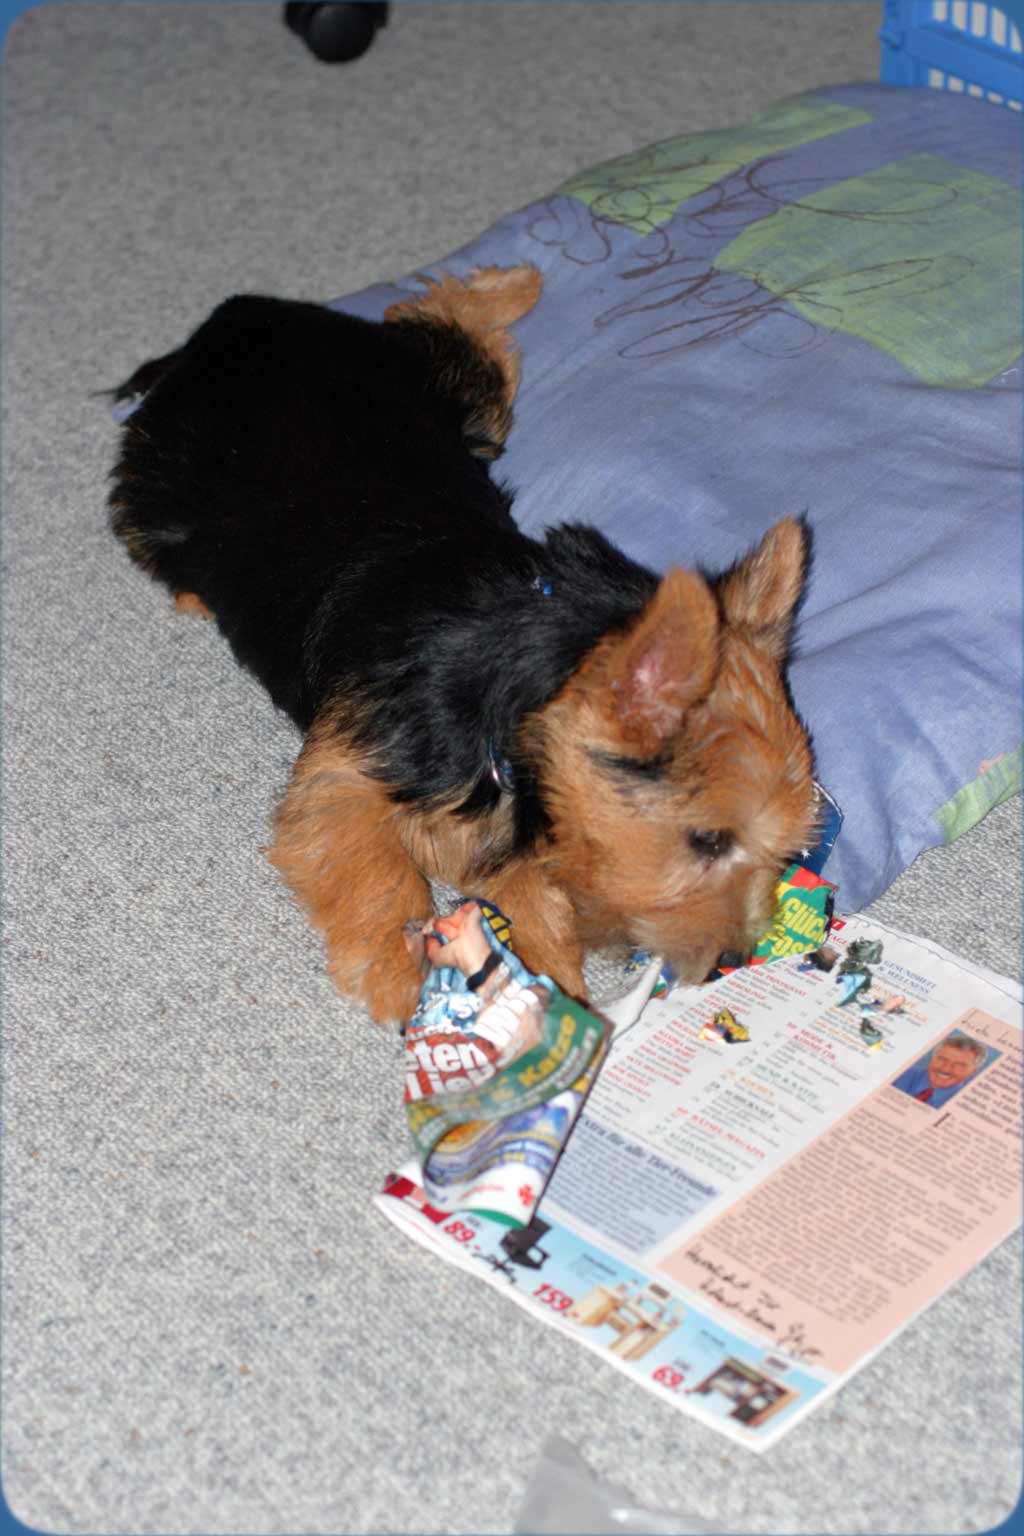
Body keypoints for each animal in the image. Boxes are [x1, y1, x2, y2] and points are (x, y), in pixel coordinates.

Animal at [109, 264, 819, 1025]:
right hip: (158, 499)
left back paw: (510, 283)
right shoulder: (346, 777)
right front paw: (404, 972)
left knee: (435, 314)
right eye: (709, 840)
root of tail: (240, 320)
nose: (728, 962)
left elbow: (533, 909)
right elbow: (376, 869)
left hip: (464, 398)